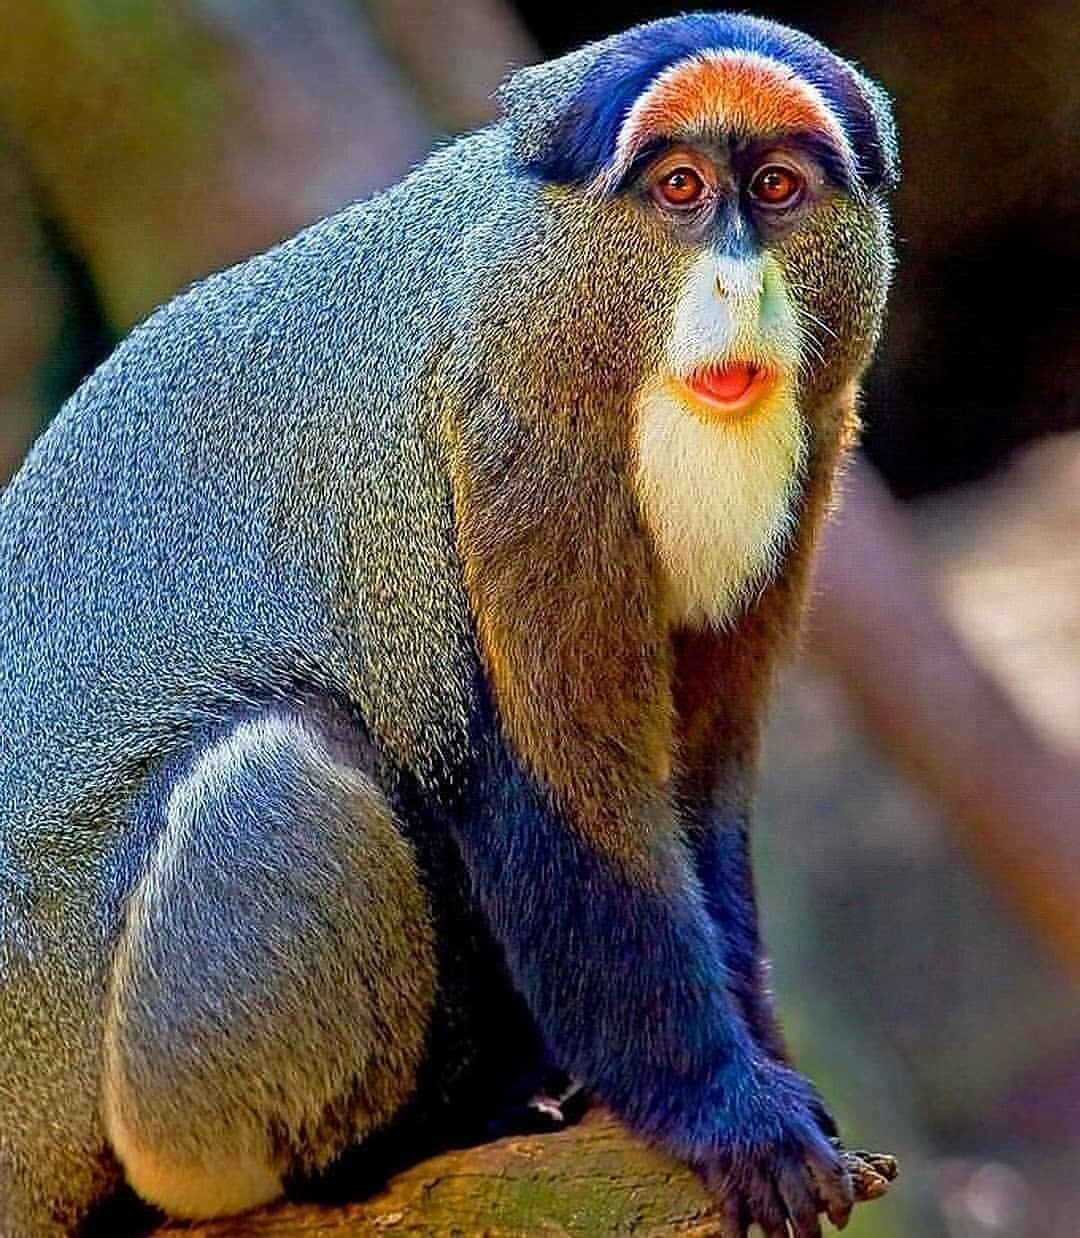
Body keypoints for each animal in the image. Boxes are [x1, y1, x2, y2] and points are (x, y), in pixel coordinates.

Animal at [0, 11, 899, 1236]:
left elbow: (700, 791)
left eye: (774, 187)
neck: (553, 280)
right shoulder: (517, 433)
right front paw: (732, 1113)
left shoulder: (818, 435)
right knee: (280, 765)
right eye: (679, 186)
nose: (736, 282)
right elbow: (565, 789)